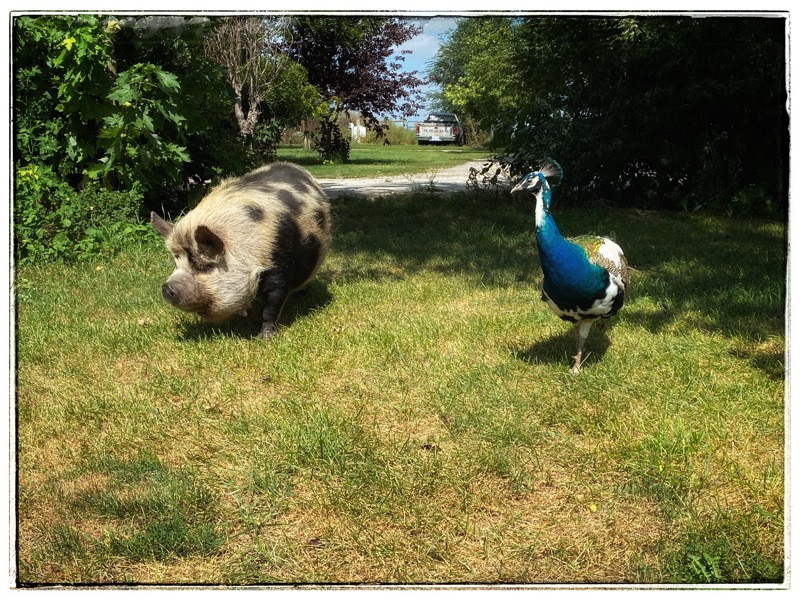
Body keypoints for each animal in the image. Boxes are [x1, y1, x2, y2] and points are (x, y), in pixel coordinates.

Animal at [151, 162, 331, 338]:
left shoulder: (278, 270)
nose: (167, 287)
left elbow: (271, 308)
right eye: (176, 262)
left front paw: (264, 337)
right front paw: (252, 324)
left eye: (202, 266)